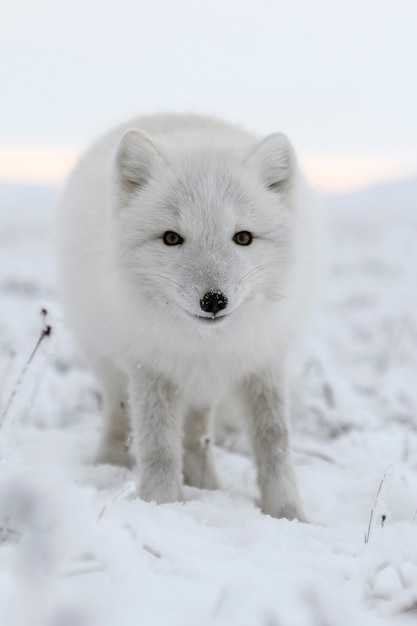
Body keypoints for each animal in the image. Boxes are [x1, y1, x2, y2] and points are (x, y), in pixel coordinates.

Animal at [57, 113, 320, 520]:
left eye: (243, 237)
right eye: (171, 238)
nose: (213, 300)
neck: (206, 344)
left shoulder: (263, 360)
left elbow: (274, 443)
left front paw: (289, 516)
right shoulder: (150, 366)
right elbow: (158, 445)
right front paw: (162, 506)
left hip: (202, 388)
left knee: (197, 434)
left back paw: (206, 486)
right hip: (110, 366)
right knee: (118, 417)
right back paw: (110, 466)